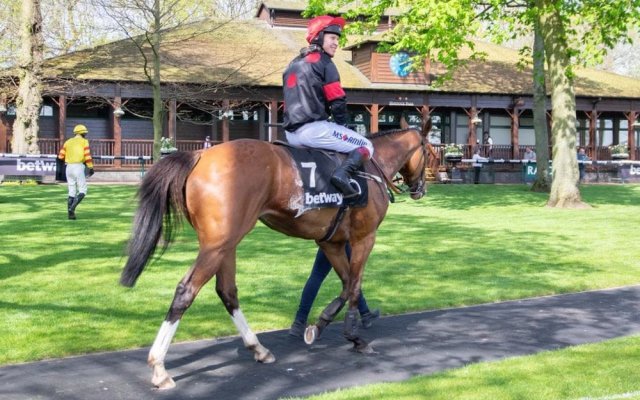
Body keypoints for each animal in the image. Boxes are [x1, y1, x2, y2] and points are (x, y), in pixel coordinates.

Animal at [120, 123, 430, 390]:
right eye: (430, 152)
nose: (421, 188)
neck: (370, 168)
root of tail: (200, 154)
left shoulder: (330, 242)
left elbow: (345, 284)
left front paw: (321, 323)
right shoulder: (364, 238)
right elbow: (353, 286)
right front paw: (354, 336)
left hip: (226, 243)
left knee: (227, 291)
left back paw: (258, 349)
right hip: (217, 246)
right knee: (187, 290)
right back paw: (159, 368)